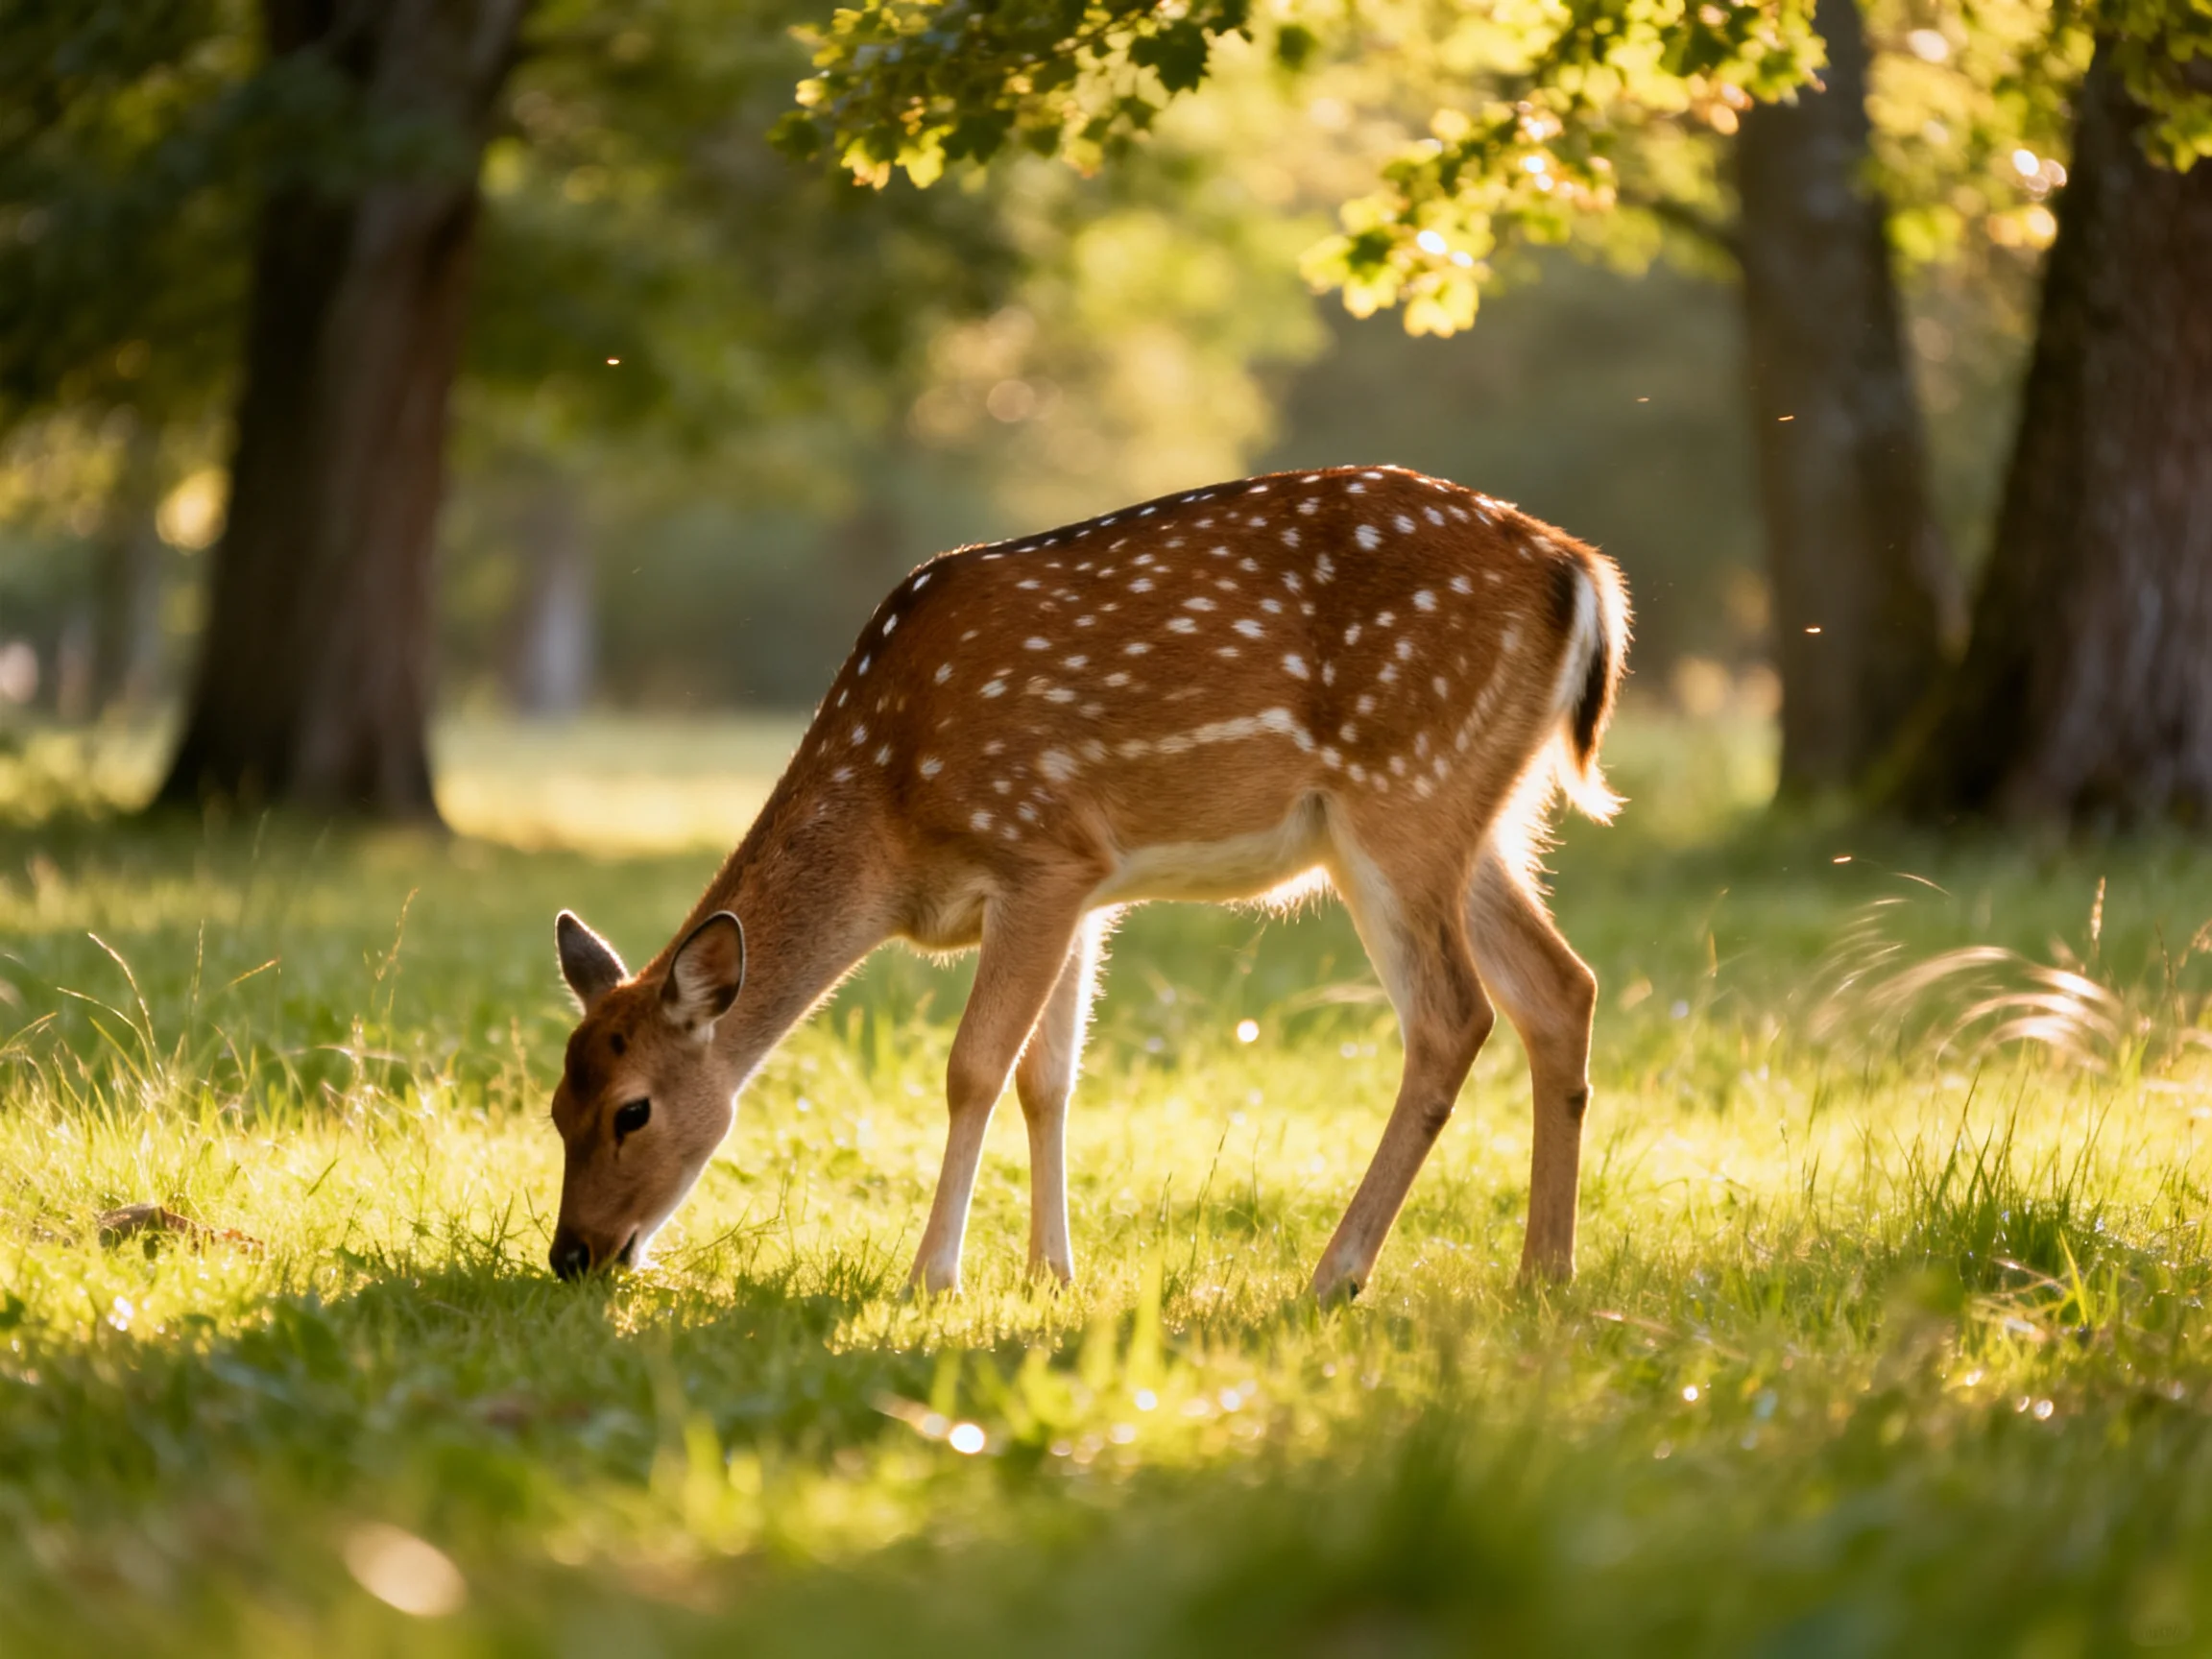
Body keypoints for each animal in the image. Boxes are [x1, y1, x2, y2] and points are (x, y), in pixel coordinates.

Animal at [546, 465, 1628, 1302]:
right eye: (555, 1107)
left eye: (632, 1110)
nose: (573, 1255)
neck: (892, 821)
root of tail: (1583, 574)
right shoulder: (1080, 890)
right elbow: (1049, 1078)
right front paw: (1050, 1274)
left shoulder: (1040, 850)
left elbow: (974, 1067)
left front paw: (932, 1278)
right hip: (1481, 814)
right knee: (1560, 987)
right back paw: (1546, 1273)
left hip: (1402, 791)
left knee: (1453, 1015)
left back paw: (1337, 1274)